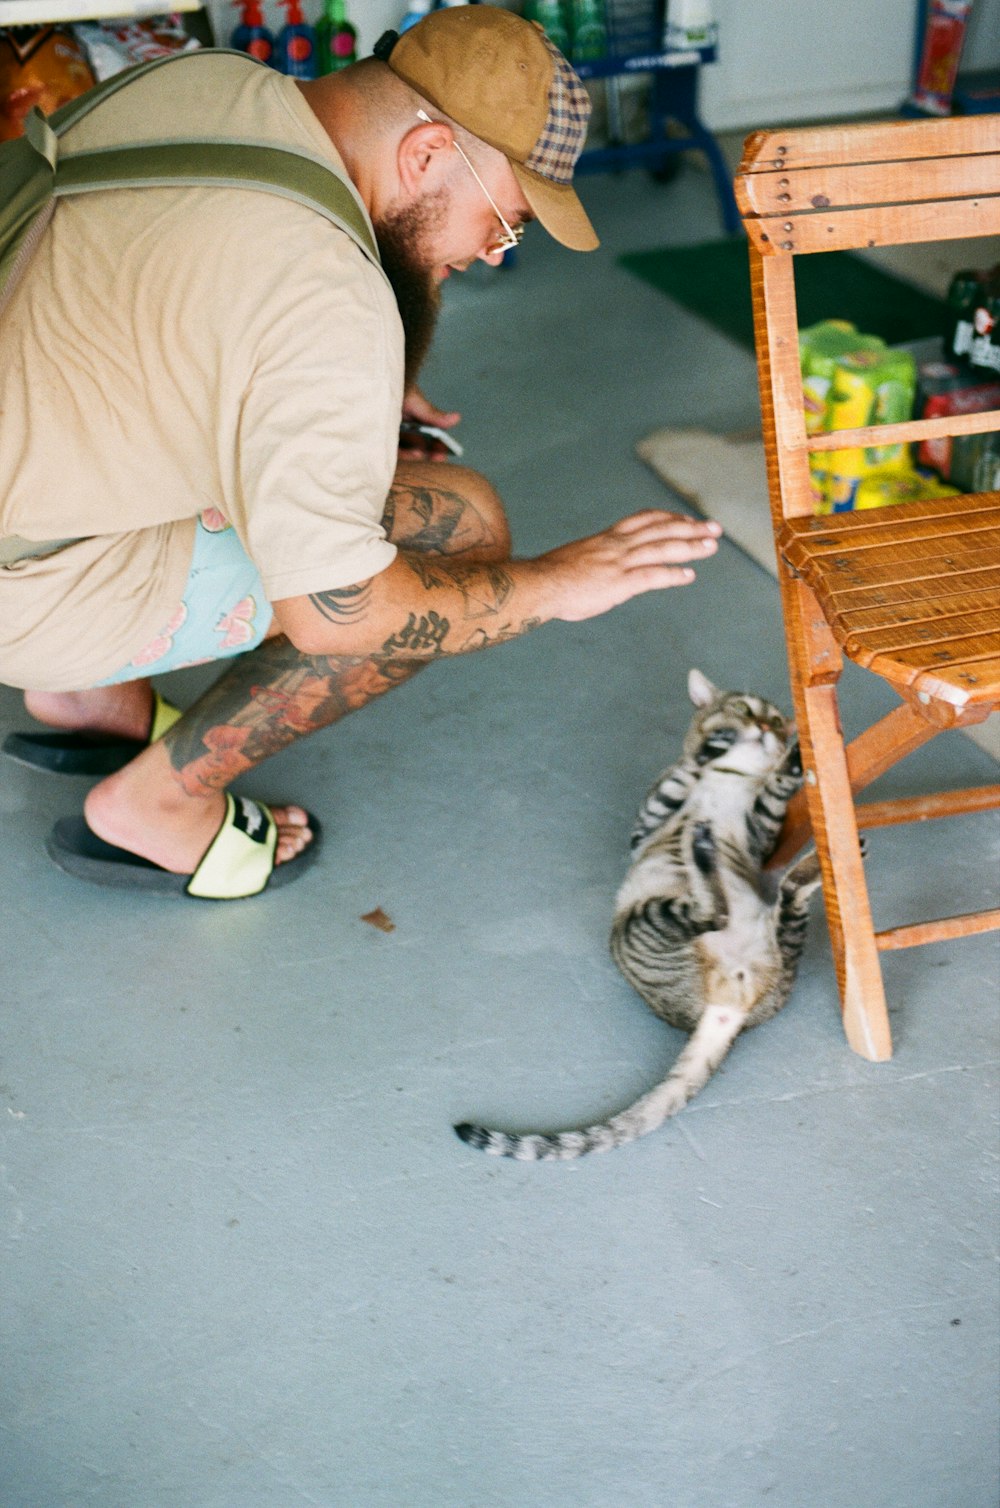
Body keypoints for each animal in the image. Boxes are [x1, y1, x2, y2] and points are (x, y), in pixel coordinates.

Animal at [452, 672, 820, 1164]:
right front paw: (710, 748)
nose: (768, 729)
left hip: (676, 926)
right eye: (746, 710)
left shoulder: (759, 835)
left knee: (739, 909)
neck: (729, 785)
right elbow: (680, 774)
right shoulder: (646, 826)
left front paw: (789, 759)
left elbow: (772, 791)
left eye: (777, 721)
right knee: (757, 910)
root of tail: (733, 1009)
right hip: (672, 927)